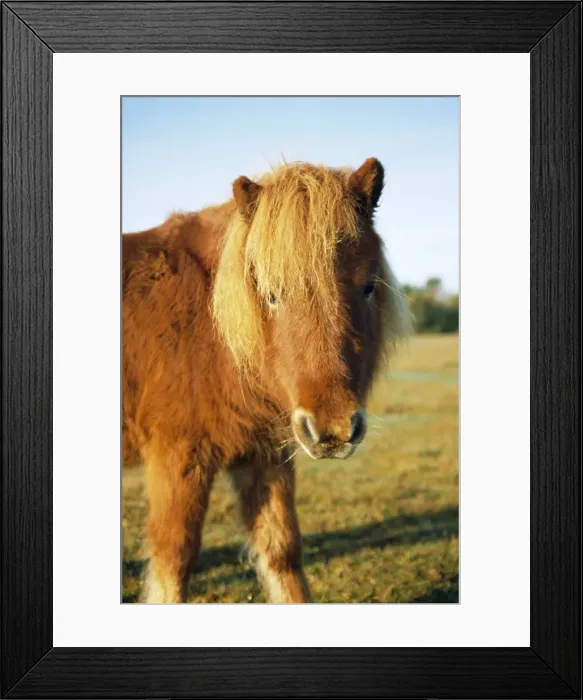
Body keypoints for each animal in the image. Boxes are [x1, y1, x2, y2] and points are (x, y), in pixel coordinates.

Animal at [122, 158, 409, 603]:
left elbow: (282, 553)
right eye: (271, 294)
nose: (333, 430)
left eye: (367, 286)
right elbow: (174, 564)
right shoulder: (177, 459)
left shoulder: (265, 455)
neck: (210, 332)